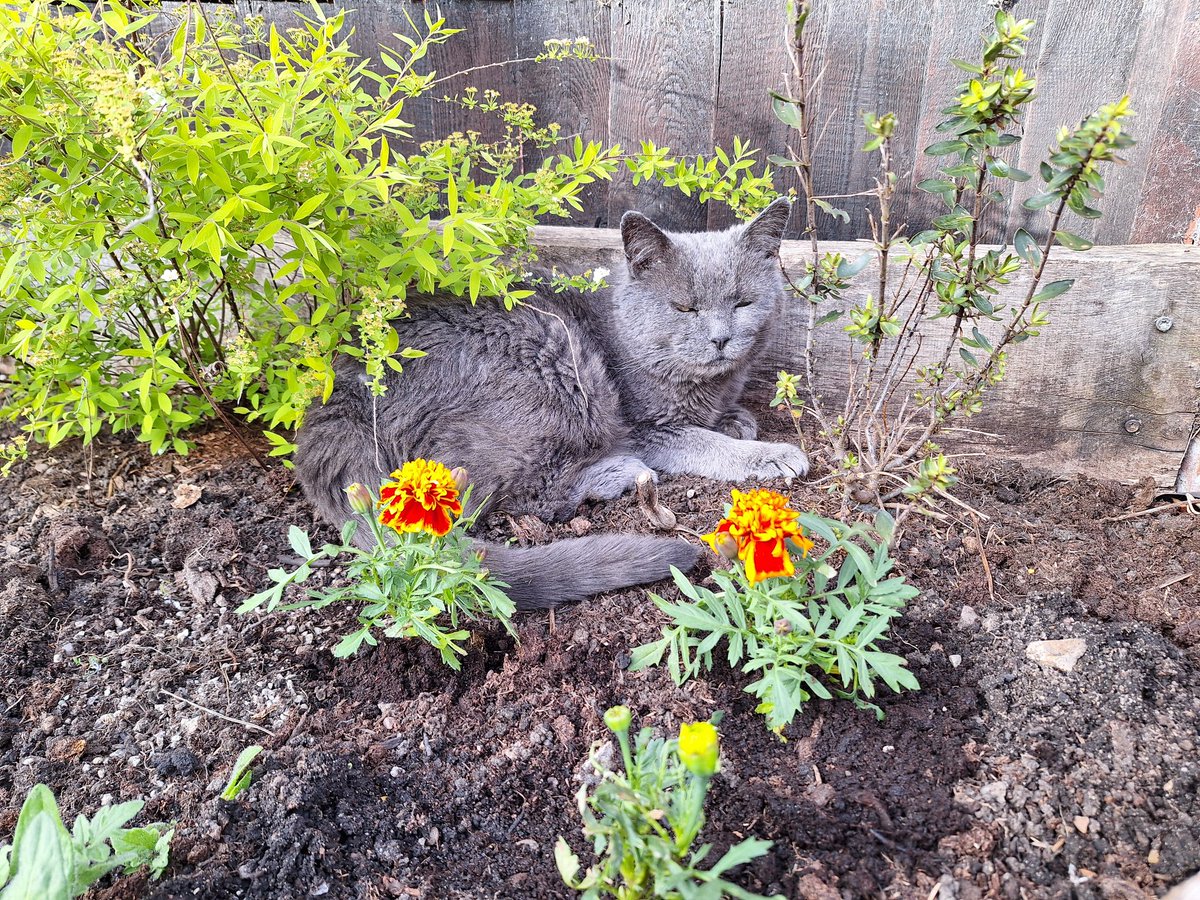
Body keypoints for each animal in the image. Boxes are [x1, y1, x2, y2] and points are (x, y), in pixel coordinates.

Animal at [295, 200, 811, 609]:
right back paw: (618, 472)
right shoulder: (651, 427)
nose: (721, 339)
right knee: (515, 496)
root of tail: (339, 403)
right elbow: (708, 444)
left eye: (743, 303)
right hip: (566, 369)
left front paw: (739, 419)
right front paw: (773, 455)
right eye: (685, 308)